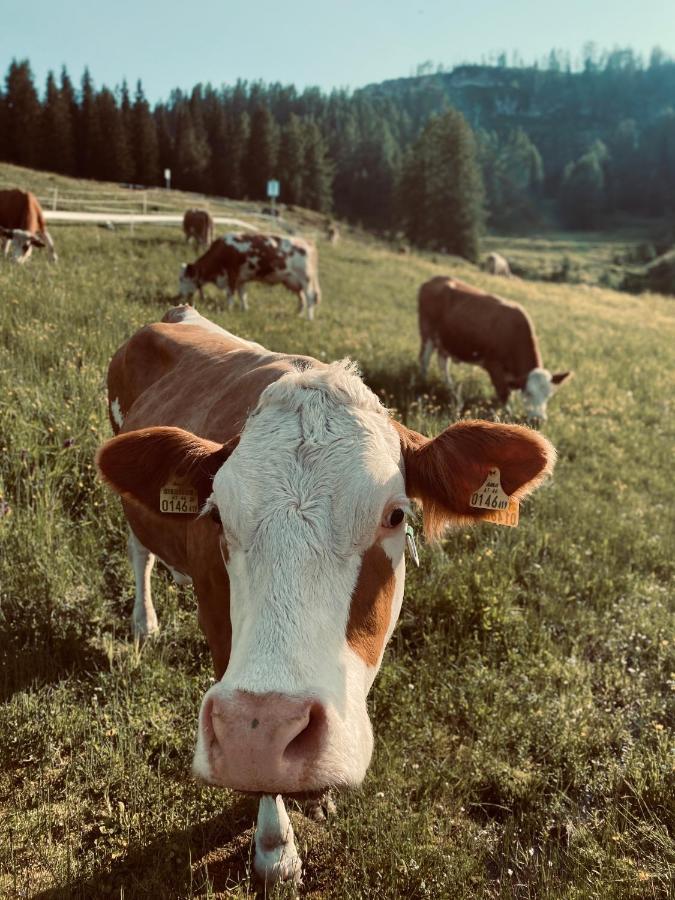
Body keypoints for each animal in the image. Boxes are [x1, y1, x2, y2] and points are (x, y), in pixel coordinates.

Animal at [95, 306, 556, 884]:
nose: (259, 734)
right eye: (217, 515)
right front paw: (275, 849)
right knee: (140, 552)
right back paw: (144, 624)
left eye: (395, 515)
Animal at [177, 232, 320, 320]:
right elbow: (242, 295)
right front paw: (244, 309)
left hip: (306, 280)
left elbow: (230, 293)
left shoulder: (232, 273)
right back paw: (298, 314)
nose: (180, 295)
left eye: (182, 279)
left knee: (310, 298)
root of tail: (307, 242)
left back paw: (309, 318)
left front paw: (229, 309)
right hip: (292, 281)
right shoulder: (241, 278)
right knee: (302, 298)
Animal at [420, 276, 572, 420]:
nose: (538, 419)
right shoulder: (493, 366)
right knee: (424, 359)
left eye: (549, 395)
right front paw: (508, 417)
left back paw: (452, 391)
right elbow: (504, 394)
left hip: (445, 341)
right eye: (529, 392)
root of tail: (435, 280)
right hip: (427, 332)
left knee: (442, 363)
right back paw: (422, 383)